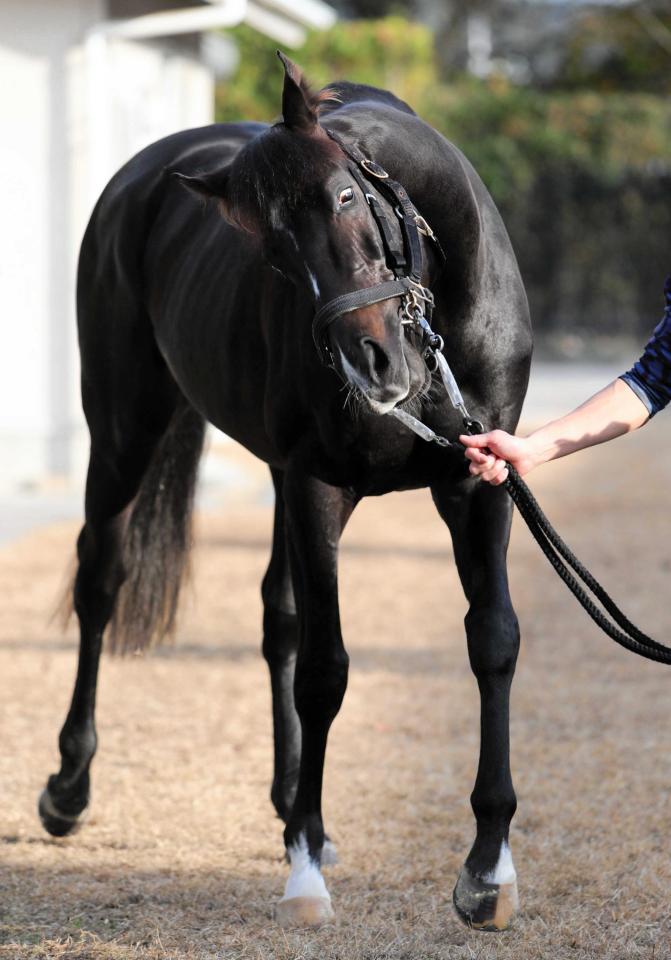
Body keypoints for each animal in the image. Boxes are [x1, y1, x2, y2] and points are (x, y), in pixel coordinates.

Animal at [40, 54, 536, 928]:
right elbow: (325, 670)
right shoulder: (316, 489)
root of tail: (138, 179)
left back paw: (284, 801)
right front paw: (305, 868)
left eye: (345, 198)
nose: (373, 364)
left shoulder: (478, 484)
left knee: (278, 615)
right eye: (269, 253)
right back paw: (70, 788)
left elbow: (492, 640)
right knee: (101, 581)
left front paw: (486, 867)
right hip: (124, 429)